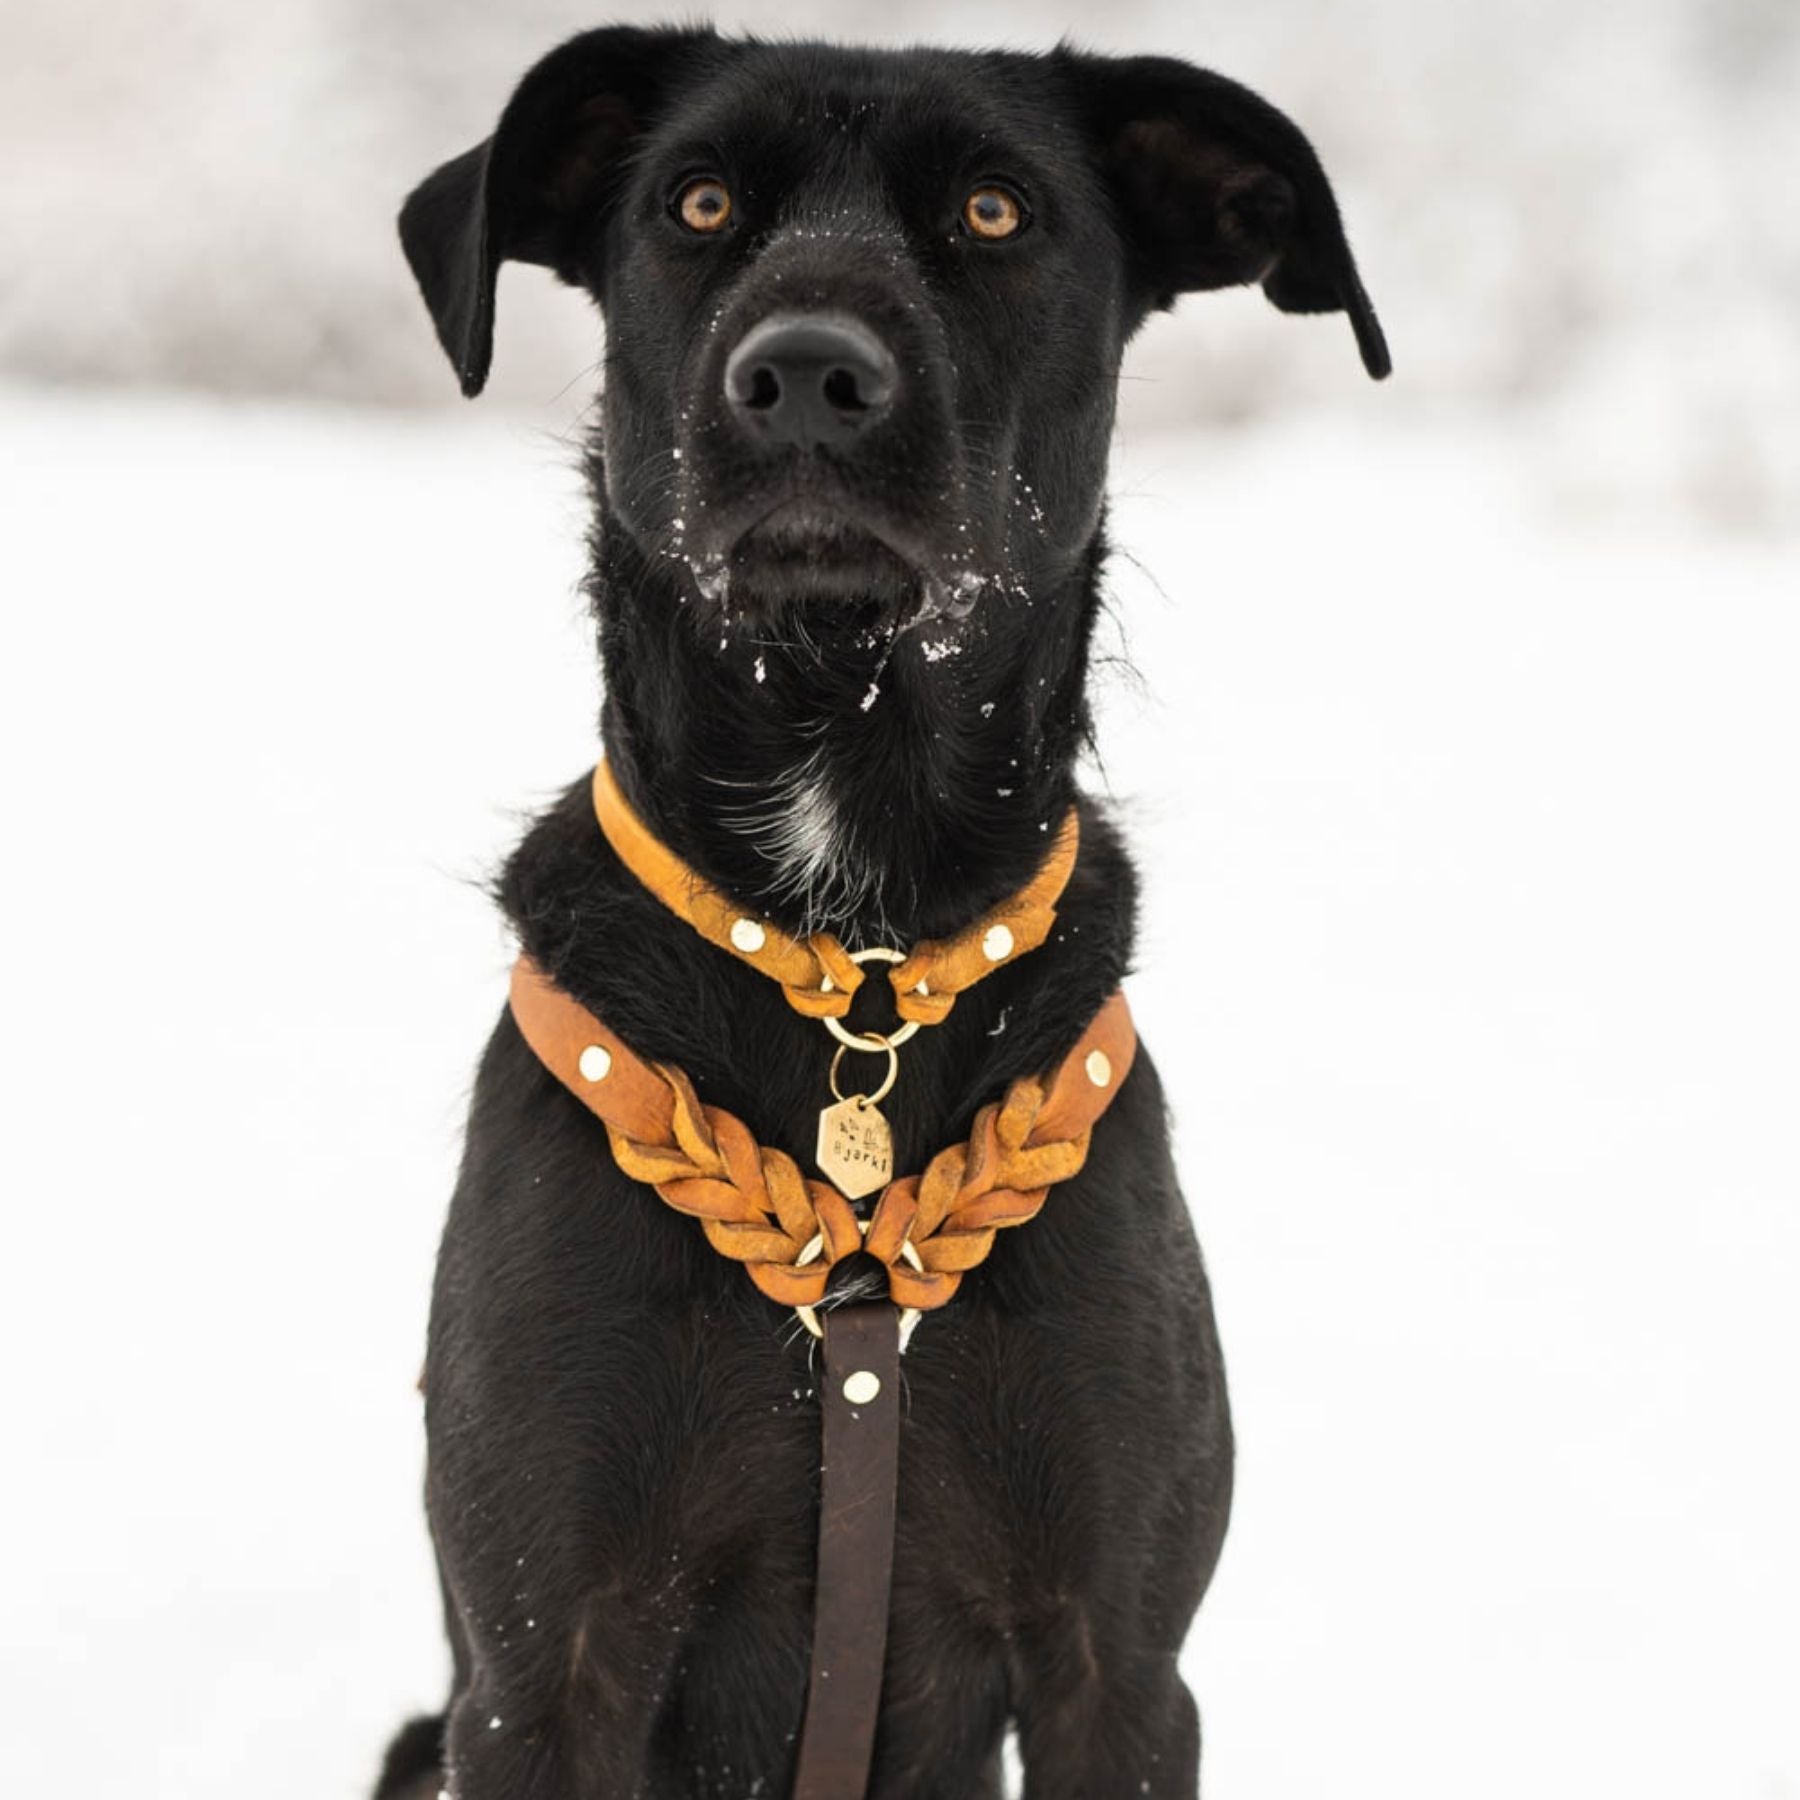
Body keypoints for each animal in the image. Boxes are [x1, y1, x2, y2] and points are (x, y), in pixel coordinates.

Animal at [379, 28, 1382, 1800]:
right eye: (698, 202)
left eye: (994, 208)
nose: (803, 374)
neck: (854, 939)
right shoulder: (539, 1666)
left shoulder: (1119, 1666)